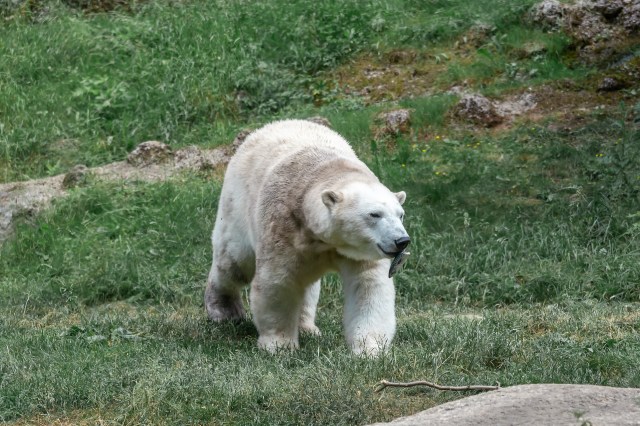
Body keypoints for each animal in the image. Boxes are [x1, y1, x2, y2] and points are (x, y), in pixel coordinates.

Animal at [205, 119, 410, 355]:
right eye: (374, 214)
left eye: (400, 214)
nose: (402, 241)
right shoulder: (283, 226)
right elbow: (277, 281)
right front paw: (280, 345)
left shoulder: (358, 253)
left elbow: (368, 286)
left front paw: (369, 349)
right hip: (237, 204)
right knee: (233, 262)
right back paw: (223, 311)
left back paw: (307, 328)